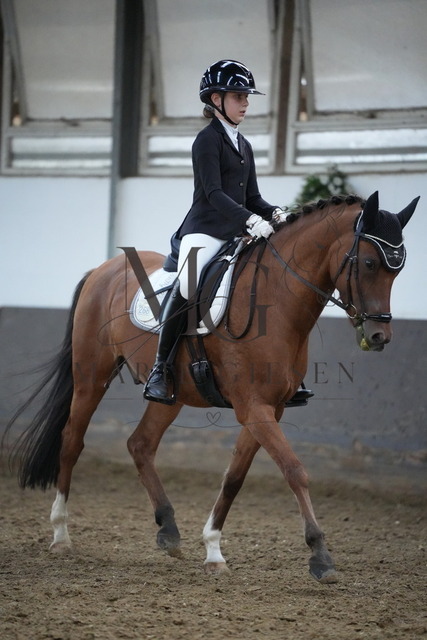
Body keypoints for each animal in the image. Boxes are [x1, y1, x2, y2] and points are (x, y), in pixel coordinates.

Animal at [4, 191, 419, 584]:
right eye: (369, 263)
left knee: (140, 444)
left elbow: (234, 477)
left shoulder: (268, 408)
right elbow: (295, 470)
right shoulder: (254, 407)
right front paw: (320, 556)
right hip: (91, 375)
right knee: (72, 440)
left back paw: (169, 530)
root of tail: (103, 269)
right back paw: (61, 535)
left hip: (171, 395)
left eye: (398, 270)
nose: (379, 336)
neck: (277, 299)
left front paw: (214, 551)